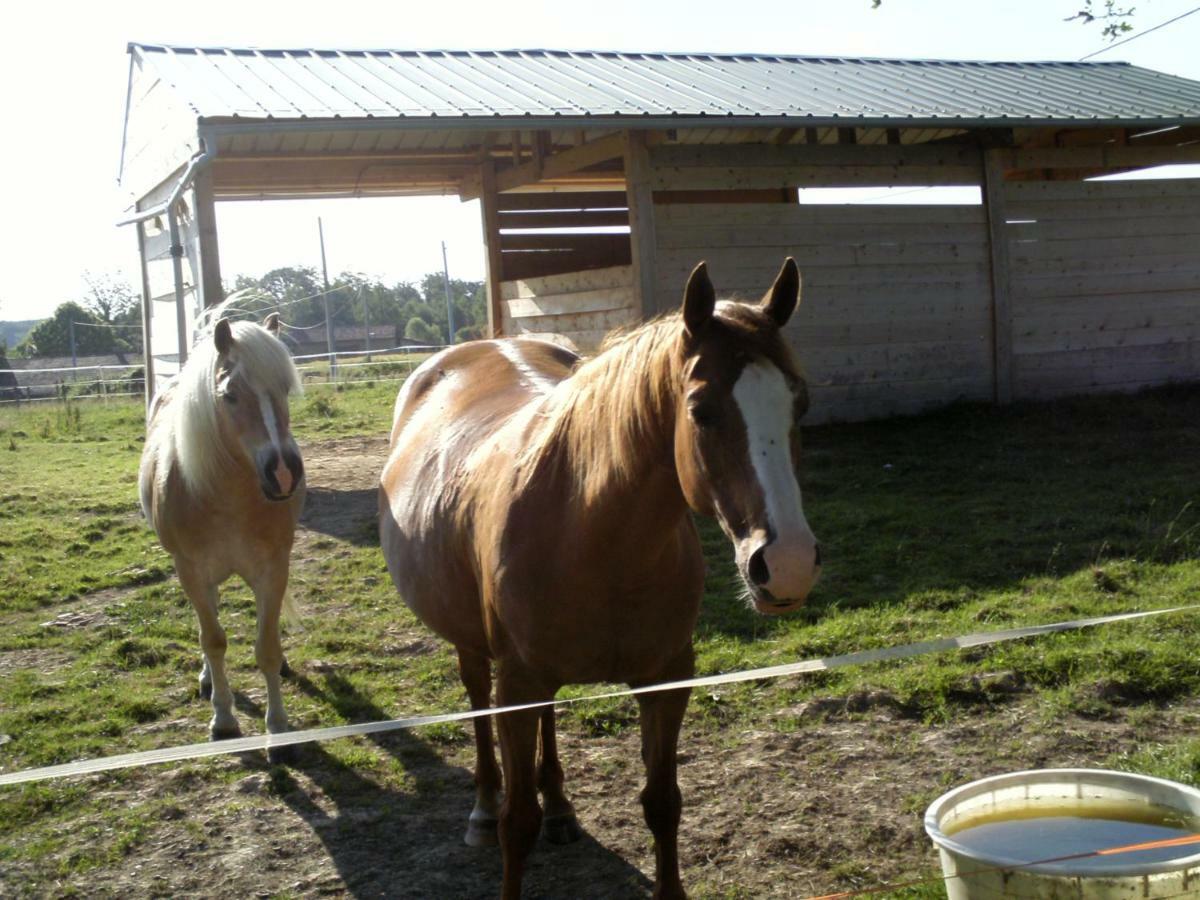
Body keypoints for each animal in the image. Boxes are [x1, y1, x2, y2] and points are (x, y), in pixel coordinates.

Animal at [139, 309, 304, 763]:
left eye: (285, 388)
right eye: (229, 394)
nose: (284, 472)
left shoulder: (272, 570)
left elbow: (266, 648)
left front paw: (278, 731)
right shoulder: (191, 571)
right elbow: (213, 640)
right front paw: (224, 720)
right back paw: (209, 681)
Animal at [379, 256, 820, 897]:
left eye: (800, 404)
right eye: (701, 410)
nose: (787, 563)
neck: (590, 534)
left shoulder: (667, 679)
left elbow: (662, 802)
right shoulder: (516, 684)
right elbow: (518, 822)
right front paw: (507, 821)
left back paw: (561, 806)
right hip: (477, 649)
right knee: (477, 702)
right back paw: (482, 808)